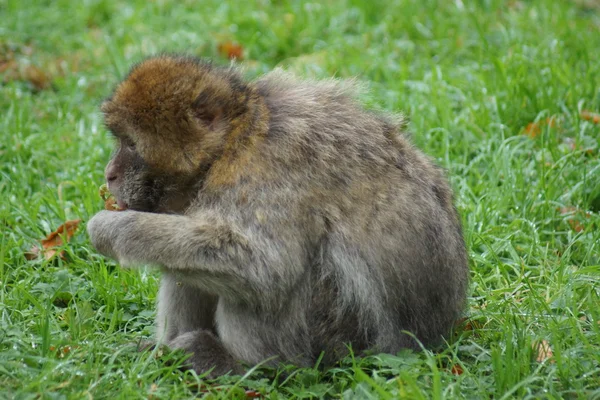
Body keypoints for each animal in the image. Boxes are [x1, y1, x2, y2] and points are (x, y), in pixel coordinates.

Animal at [86, 54, 468, 376]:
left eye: (130, 144)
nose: (109, 173)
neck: (235, 139)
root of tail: (435, 335)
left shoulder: (266, 168)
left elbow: (264, 267)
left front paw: (112, 229)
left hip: (331, 336)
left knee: (268, 281)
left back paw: (247, 367)